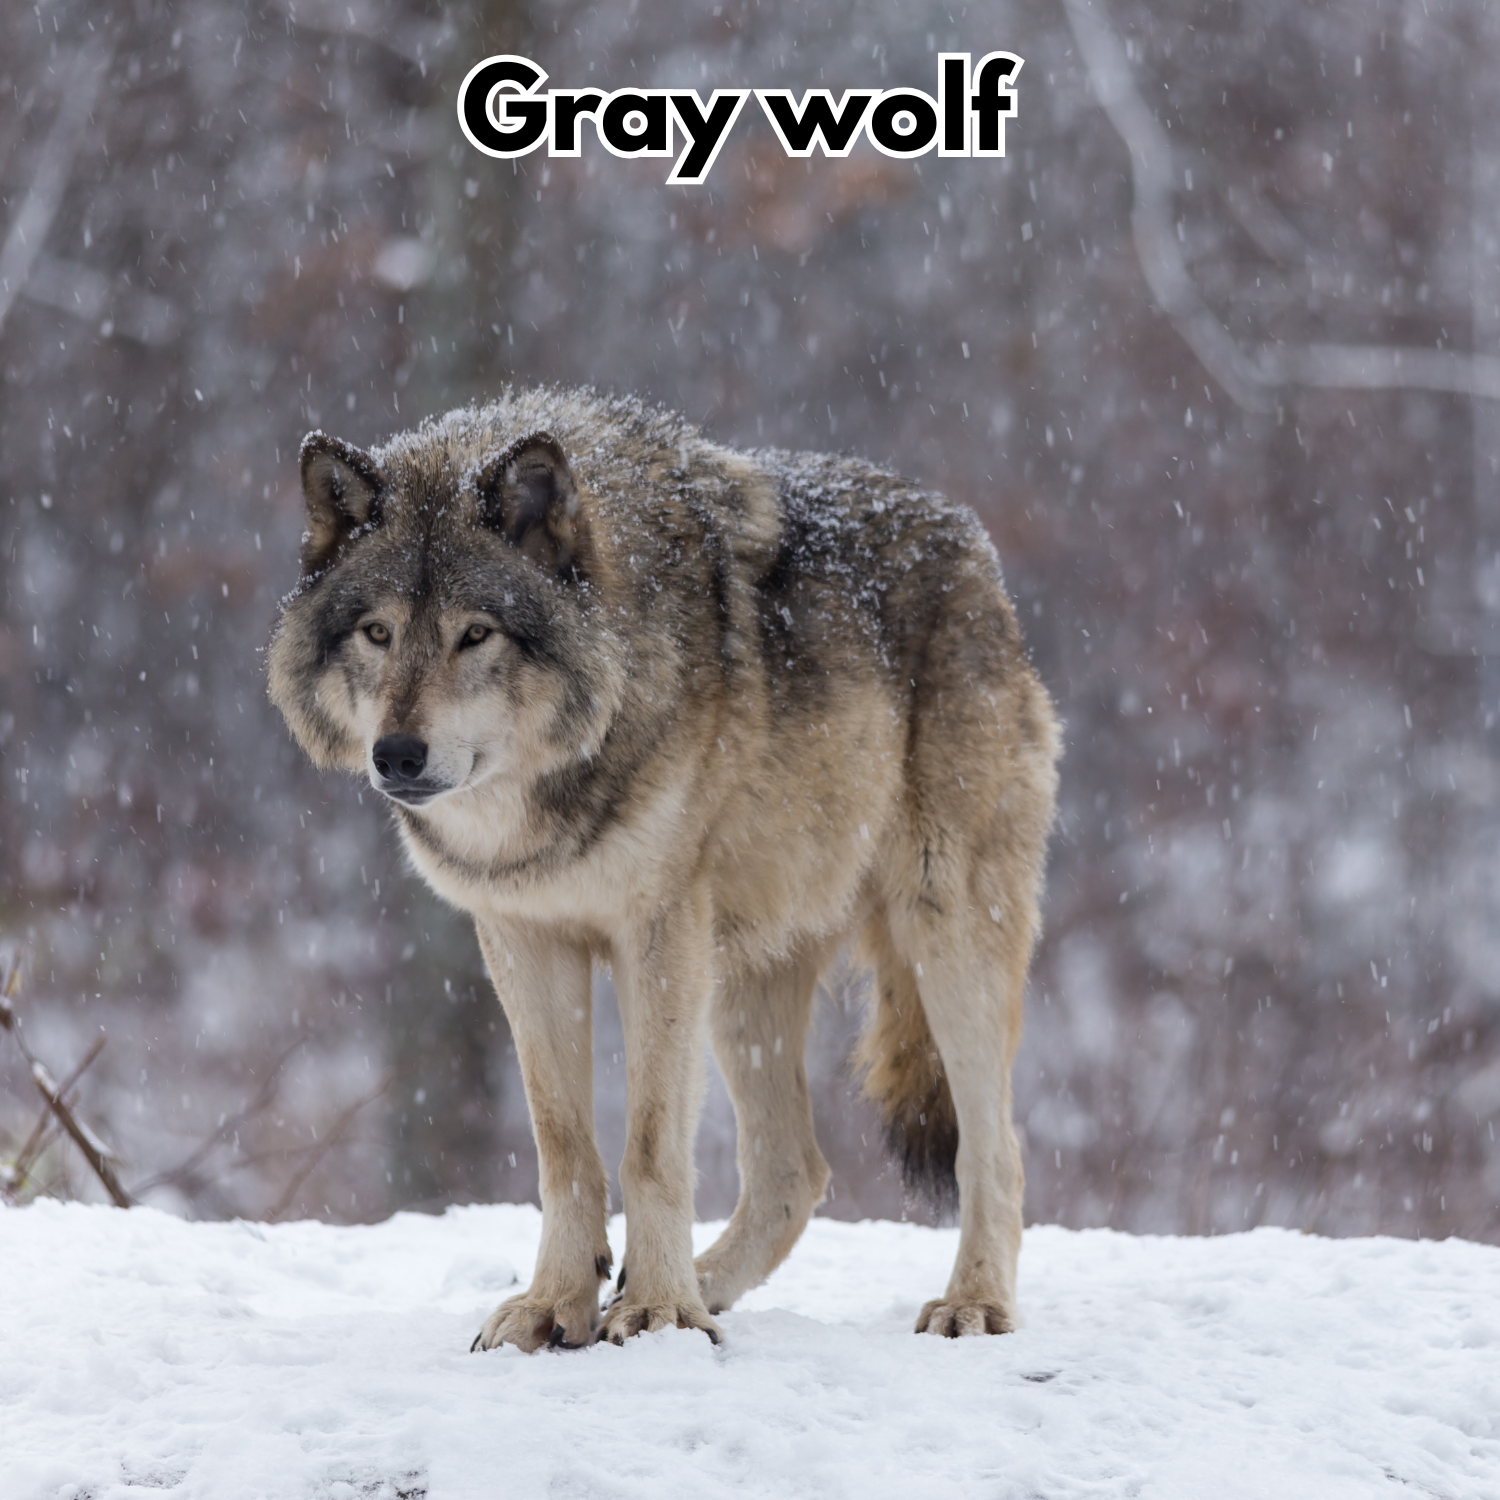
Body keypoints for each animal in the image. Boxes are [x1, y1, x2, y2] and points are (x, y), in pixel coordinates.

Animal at [268, 387, 1059, 1349]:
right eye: (377, 632)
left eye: (475, 635)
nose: (397, 755)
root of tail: (973, 547)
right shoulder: (523, 937)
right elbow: (564, 1146)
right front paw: (558, 1306)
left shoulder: (656, 933)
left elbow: (648, 1145)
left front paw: (657, 1313)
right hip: (743, 982)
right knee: (794, 1170)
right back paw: (703, 1283)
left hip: (943, 935)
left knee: (997, 1149)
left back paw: (971, 1303)